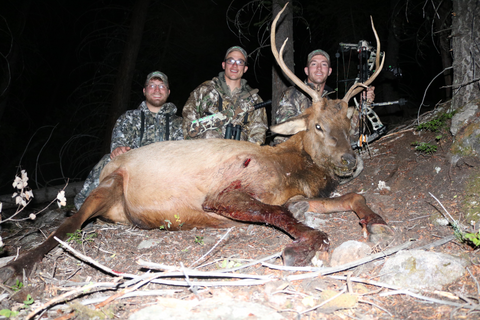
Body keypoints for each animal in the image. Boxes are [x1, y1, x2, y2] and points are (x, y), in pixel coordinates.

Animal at [0, 6, 394, 284]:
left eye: (350, 122)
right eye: (317, 125)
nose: (349, 160)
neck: (290, 168)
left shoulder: (298, 195)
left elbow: (352, 196)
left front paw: (377, 223)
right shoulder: (223, 192)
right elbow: (282, 216)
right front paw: (299, 249)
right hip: (107, 184)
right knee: (64, 227)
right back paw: (18, 266)